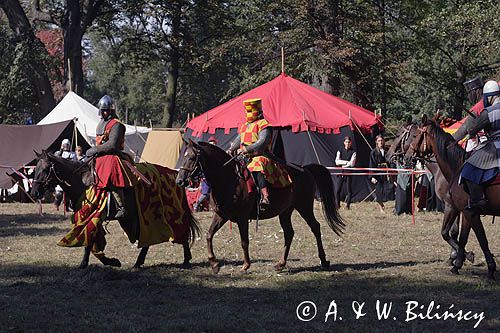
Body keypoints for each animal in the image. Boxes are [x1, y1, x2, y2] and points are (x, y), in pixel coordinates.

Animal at [30, 150, 199, 270]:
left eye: (46, 169)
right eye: (35, 169)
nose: (34, 193)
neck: (83, 182)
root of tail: (176, 175)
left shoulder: (93, 216)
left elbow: (89, 242)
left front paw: (87, 263)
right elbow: (93, 242)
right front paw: (110, 261)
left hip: (167, 213)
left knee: (181, 232)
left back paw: (186, 259)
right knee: (148, 240)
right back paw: (139, 262)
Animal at [176, 140, 344, 272]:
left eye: (192, 157)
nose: (179, 180)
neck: (229, 179)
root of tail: (305, 169)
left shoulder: (242, 218)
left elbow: (244, 241)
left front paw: (246, 265)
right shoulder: (221, 215)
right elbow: (209, 235)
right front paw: (214, 263)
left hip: (304, 207)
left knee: (315, 227)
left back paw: (323, 260)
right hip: (285, 212)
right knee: (289, 233)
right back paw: (281, 264)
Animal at [388, 122, 474, 264]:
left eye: (400, 134)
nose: (388, 155)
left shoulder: (450, 205)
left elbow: (449, 232)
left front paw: (461, 255)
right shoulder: (456, 207)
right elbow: (454, 231)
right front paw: (455, 255)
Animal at [404, 116, 498, 278]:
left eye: (414, 135)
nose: (407, 157)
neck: (457, 167)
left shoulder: (457, 209)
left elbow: (476, 238)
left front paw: (489, 267)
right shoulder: (466, 212)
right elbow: (461, 237)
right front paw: (458, 262)